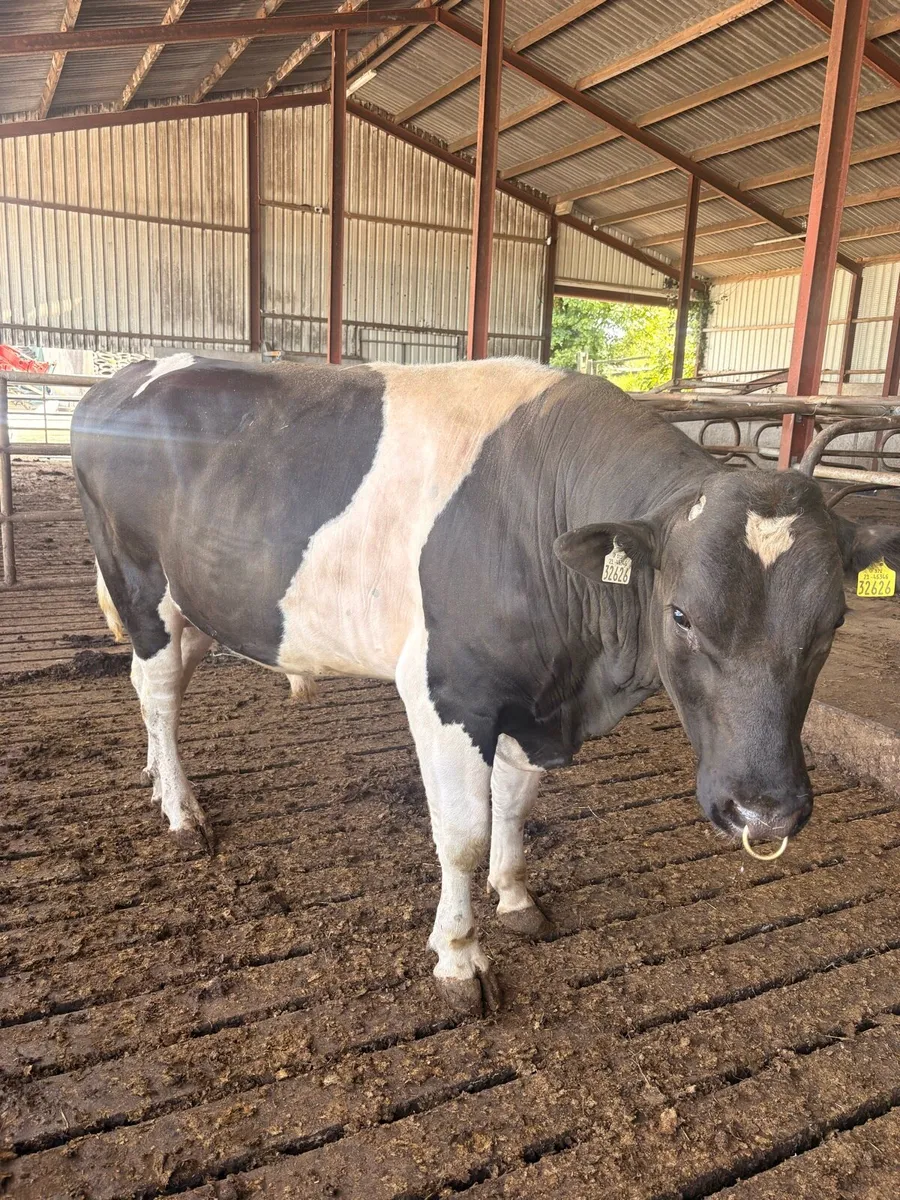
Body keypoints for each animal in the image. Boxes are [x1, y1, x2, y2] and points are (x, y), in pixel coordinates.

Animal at [71, 354, 900, 1015]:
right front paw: (460, 958)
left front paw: (517, 895)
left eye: (834, 620)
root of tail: (123, 376)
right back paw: (181, 811)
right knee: (158, 694)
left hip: (196, 601)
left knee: (159, 689)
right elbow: (463, 833)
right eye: (682, 614)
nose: (765, 811)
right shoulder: (447, 690)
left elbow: (518, 802)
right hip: (139, 584)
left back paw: (156, 778)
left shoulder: (533, 697)